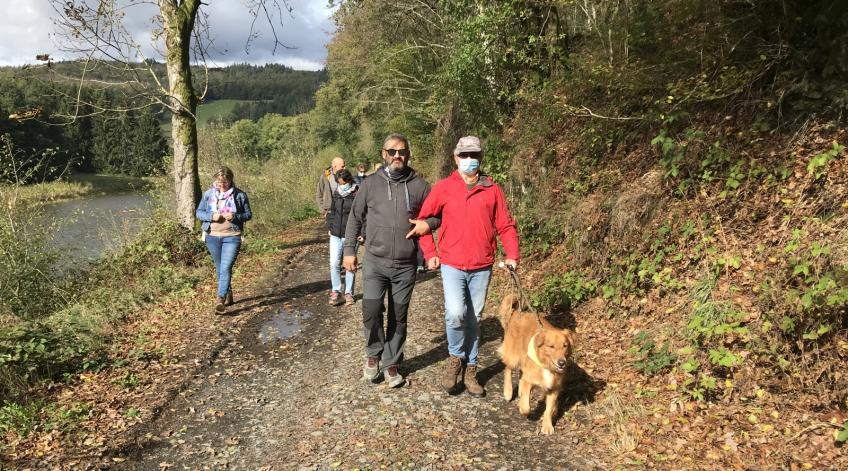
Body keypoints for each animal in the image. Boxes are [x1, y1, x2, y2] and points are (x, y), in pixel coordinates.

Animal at [496, 296, 576, 436]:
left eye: (565, 346)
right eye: (551, 346)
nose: (562, 362)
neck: (546, 366)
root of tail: (517, 313)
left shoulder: (554, 388)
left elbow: (549, 409)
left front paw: (547, 425)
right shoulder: (530, 380)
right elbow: (526, 407)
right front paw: (523, 407)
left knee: (520, 375)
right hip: (513, 357)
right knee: (508, 369)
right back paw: (508, 391)